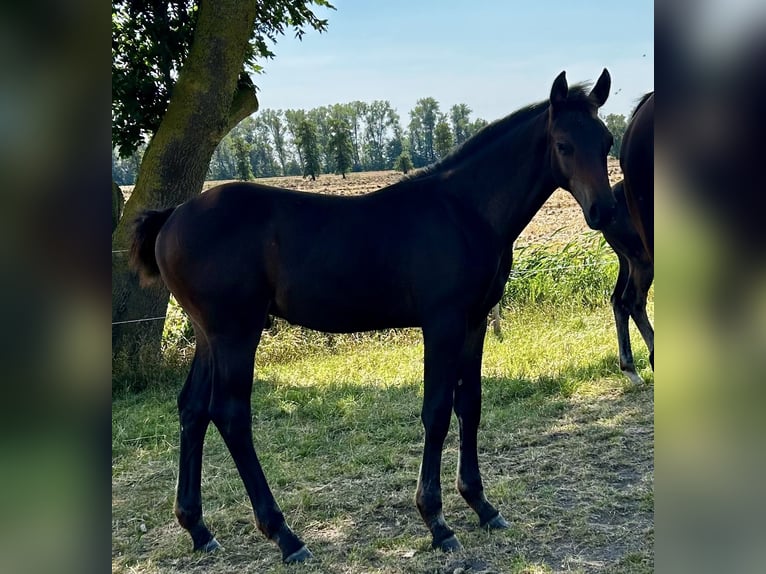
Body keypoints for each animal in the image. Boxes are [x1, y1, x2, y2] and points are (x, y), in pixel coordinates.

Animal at [130, 69, 616, 562]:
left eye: (607, 141)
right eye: (563, 145)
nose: (603, 211)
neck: (464, 211)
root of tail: (173, 216)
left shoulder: (475, 322)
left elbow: (470, 406)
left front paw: (482, 505)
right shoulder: (442, 323)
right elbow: (437, 411)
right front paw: (437, 522)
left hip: (208, 336)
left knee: (193, 409)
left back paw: (199, 529)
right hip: (236, 334)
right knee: (230, 415)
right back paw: (285, 536)